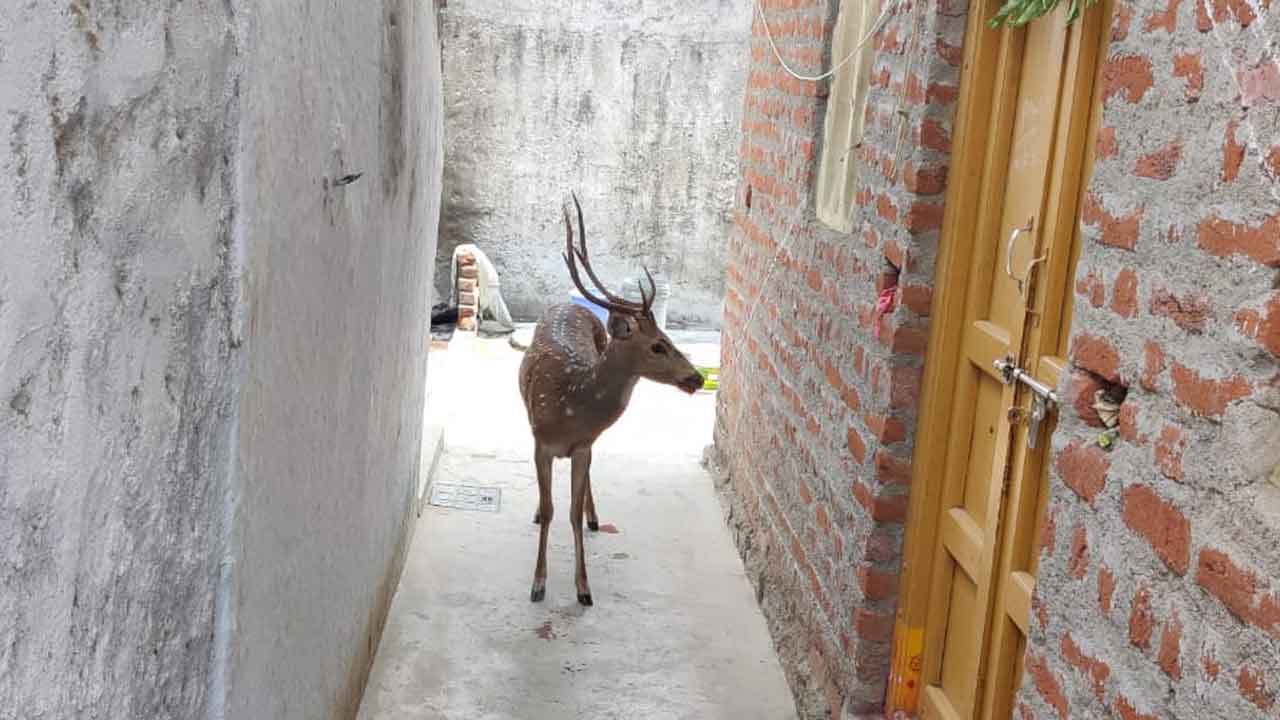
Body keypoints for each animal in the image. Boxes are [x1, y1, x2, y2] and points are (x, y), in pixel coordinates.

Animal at [518, 193, 705, 606]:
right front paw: (537, 585)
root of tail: (569, 304)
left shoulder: (584, 446)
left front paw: (583, 589)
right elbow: (552, 510)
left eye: (668, 337)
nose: (697, 377)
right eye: (658, 345)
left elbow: (571, 512)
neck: (570, 406)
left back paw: (594, 517)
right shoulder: (540, 441)